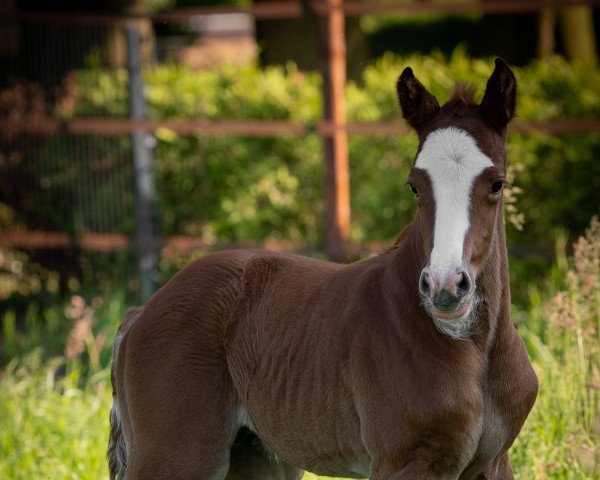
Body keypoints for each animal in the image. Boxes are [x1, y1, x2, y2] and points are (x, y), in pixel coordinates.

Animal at [108, 58, 540, 478]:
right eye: (415, 185)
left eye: (497, 183)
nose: (445, 286)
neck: (473, 349)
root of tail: (141, 312)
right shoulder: (401, 462)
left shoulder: (494, 463)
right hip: (177, 457)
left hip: (256, 458)